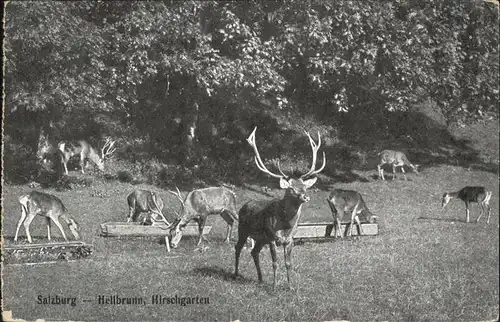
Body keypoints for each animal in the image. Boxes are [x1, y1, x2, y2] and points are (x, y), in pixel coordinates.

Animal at [235, 127, 328, 290]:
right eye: (291, 188)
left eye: (304, 186)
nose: (306, 196)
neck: (285, 225)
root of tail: (244, 205)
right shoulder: (272, 238)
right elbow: (275, 263)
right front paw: (274, 287)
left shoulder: (289, 240)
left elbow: (288, 263)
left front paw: (290, 287)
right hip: (243, 229)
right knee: (238, 248)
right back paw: (235, 274)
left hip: (260, 239)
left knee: (254, 252)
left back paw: (260, 279)